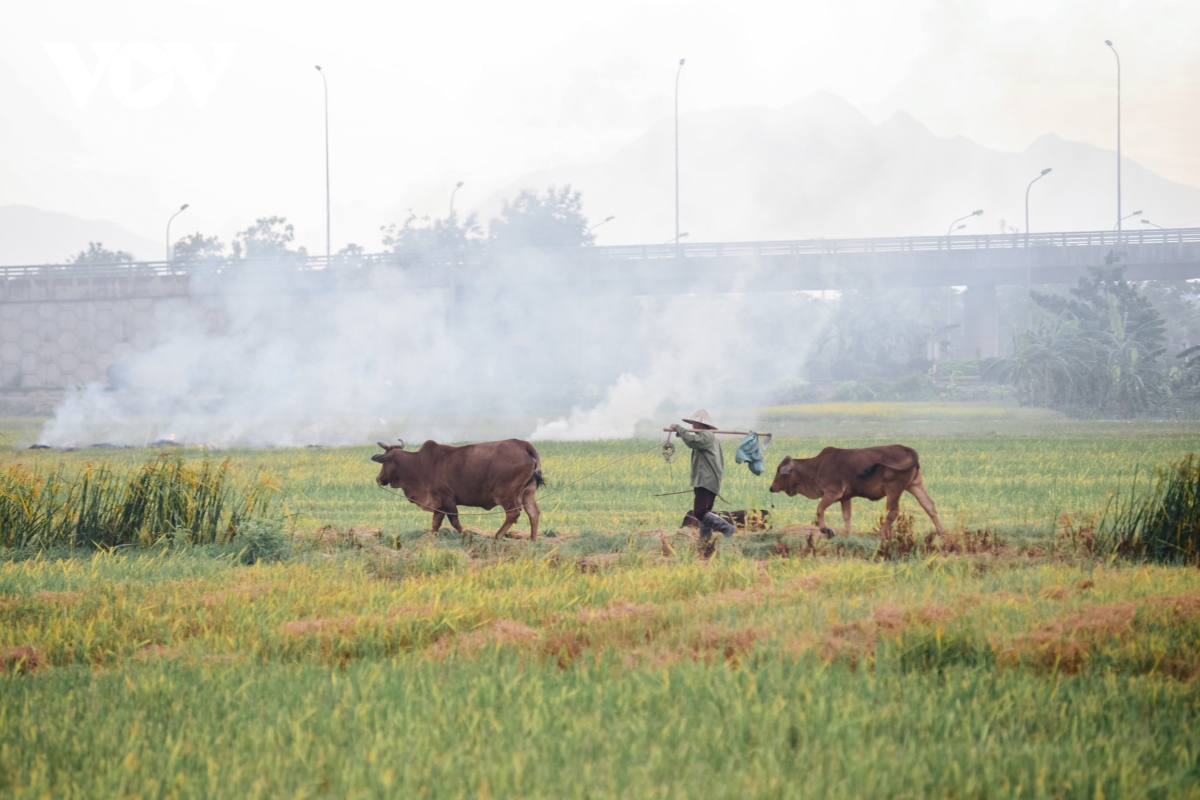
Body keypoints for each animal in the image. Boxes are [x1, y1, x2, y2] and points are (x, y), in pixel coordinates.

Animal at [372, 441, 547, 542]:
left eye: (385, 461)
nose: (379, 479)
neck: (418, 464)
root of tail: (525, 445)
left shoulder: (447, 499)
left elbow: (454, 521)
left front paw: (467, 536)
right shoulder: (439, 503)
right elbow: (436, 523)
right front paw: (432, 539)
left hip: (505, 494)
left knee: (513, 514)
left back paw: (497, 537)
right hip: (527, 493)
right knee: (533, 513)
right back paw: (533, 540)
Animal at [768, 443, 945, 537]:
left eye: (779, 471)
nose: (771, 488)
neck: (816, 467)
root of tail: (910, 450)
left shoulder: (833, 493)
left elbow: (819, 509)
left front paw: (826, 529)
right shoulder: (845, 497)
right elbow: (847, 516)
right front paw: (847, 534)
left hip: (894, 489)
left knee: (894, 511)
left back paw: (880, 534)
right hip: (915, 485)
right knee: (929, 505)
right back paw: (941, 532)